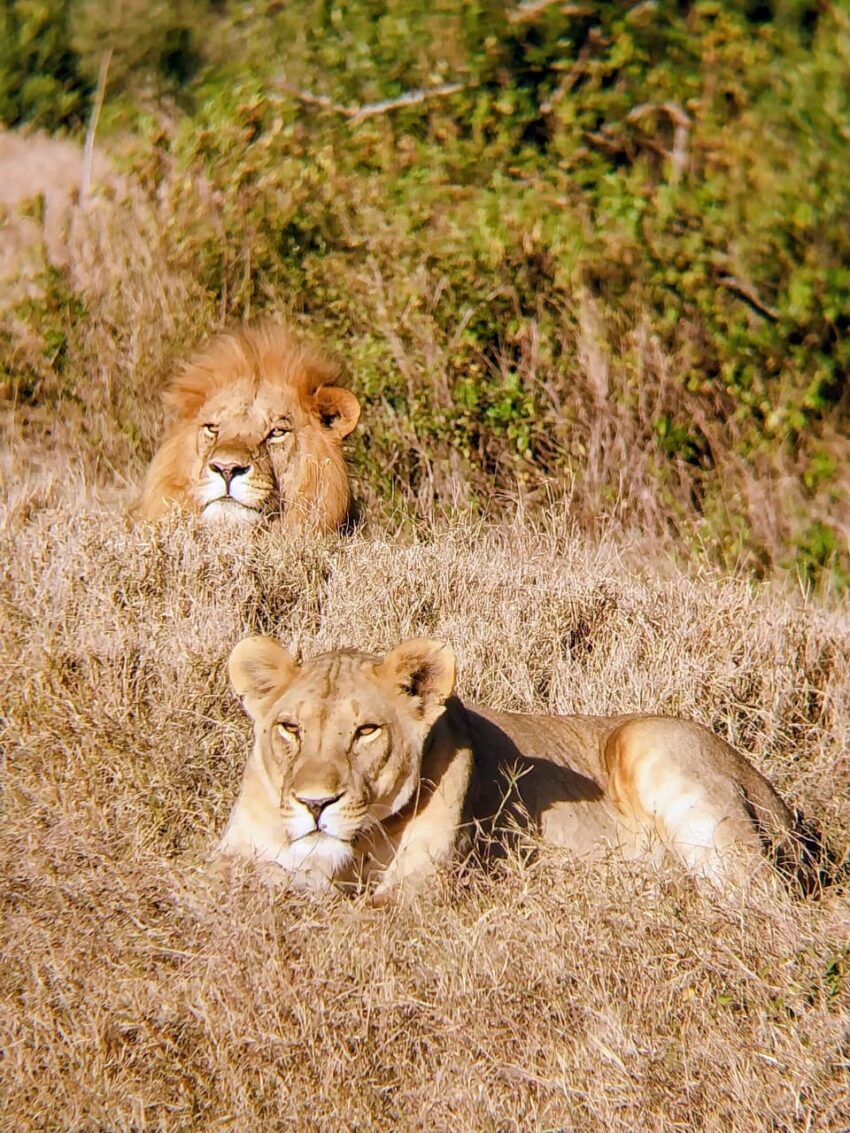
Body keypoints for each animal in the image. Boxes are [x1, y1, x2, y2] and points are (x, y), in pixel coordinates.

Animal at [216, 635, 820, 902]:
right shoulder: (230, 857)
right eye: (289, 730)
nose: (315, 804)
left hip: (653, 743)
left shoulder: (427, 889)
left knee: (759, 900)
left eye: (366, 732)